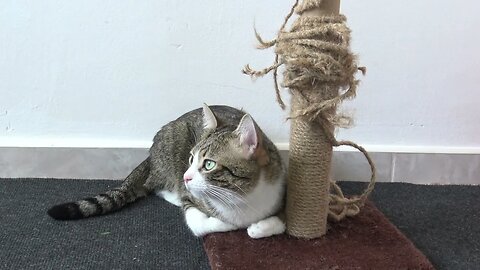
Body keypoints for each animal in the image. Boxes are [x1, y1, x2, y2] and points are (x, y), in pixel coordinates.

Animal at [49, 104, 286, 237]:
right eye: (191, 159)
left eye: (209, 164)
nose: (186, 176)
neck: (241, 198)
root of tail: (151, 154)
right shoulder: (192, 197)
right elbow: (199, 223)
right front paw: (228, 224)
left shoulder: (281, 188)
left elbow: (279, 222)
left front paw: (258, 227)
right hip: (174, 142)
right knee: (155, 185)